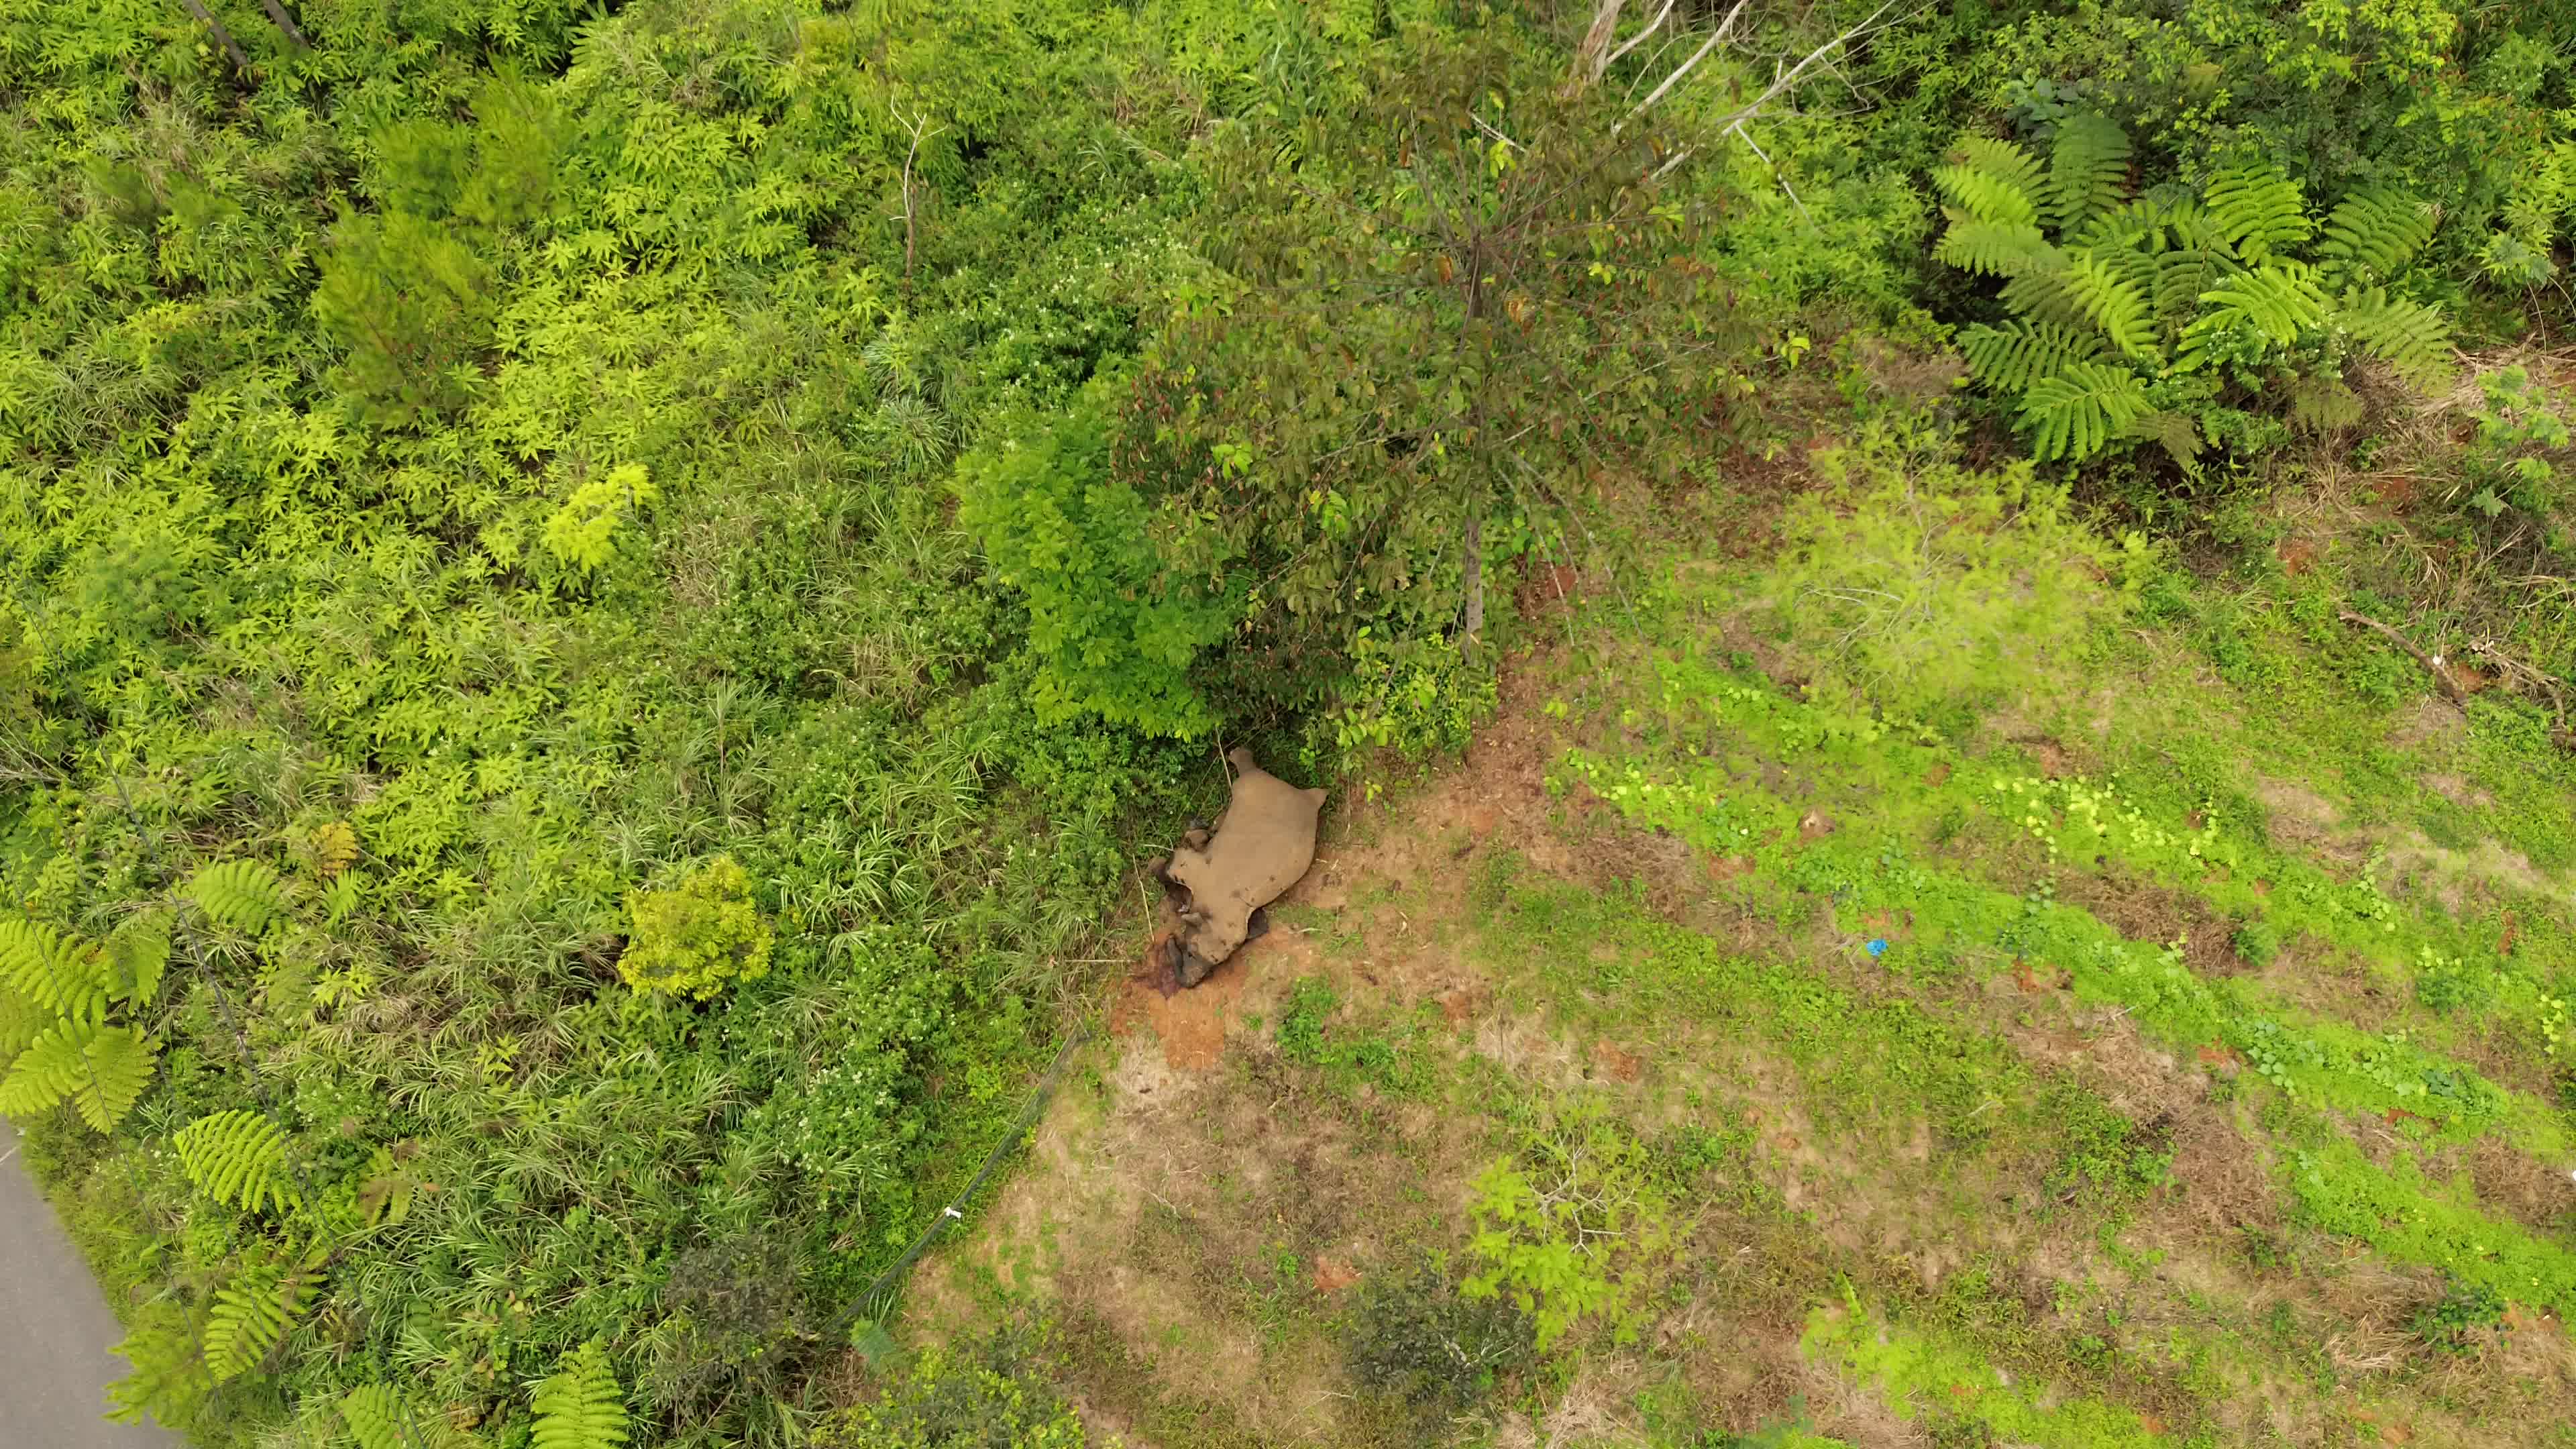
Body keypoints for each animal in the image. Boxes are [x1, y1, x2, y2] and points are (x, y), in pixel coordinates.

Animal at [1153, 749, 1327, 988]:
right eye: (1190, 953)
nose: (1171, 940)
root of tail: (1311, 800)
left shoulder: (1187, 865)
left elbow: (1165, 867)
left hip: (1248, 784)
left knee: (1245, 773)